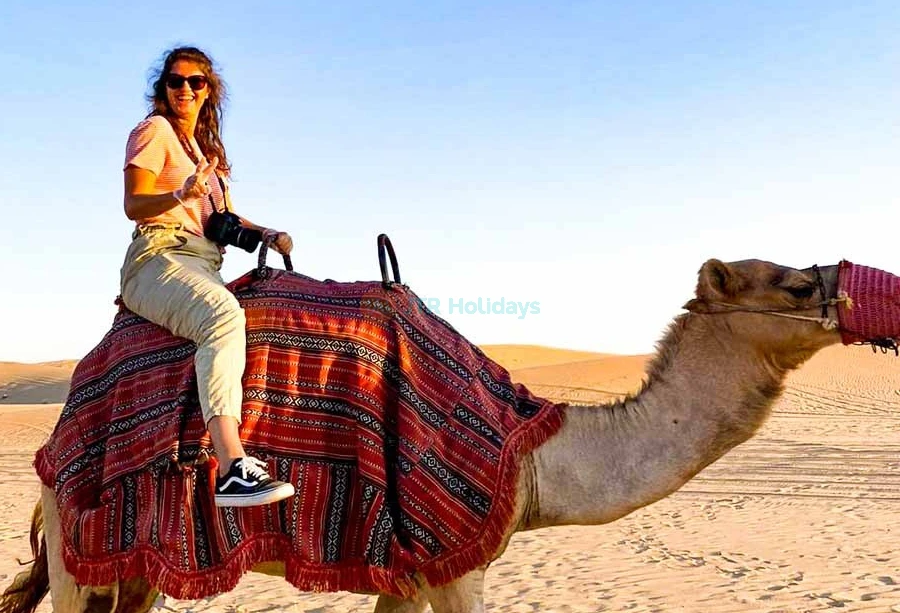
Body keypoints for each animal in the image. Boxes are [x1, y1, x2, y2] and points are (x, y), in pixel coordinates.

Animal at [0, 257, 860, 613]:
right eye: (791, 283)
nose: (849, 291)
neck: (534, 450)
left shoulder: (409, 571)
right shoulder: (454, 559)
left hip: (134, 558)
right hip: (80, 541)